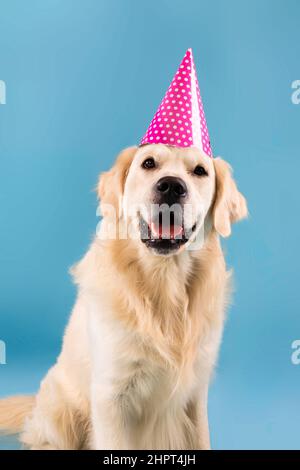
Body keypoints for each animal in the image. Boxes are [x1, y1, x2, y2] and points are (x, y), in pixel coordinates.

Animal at [0, 145, 247, 450]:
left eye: (200, 171)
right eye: (148, 163)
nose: (171, 186)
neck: (164, 284)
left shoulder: (195, 391)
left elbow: (201, 439)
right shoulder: (111, 394)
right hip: (62, 413)